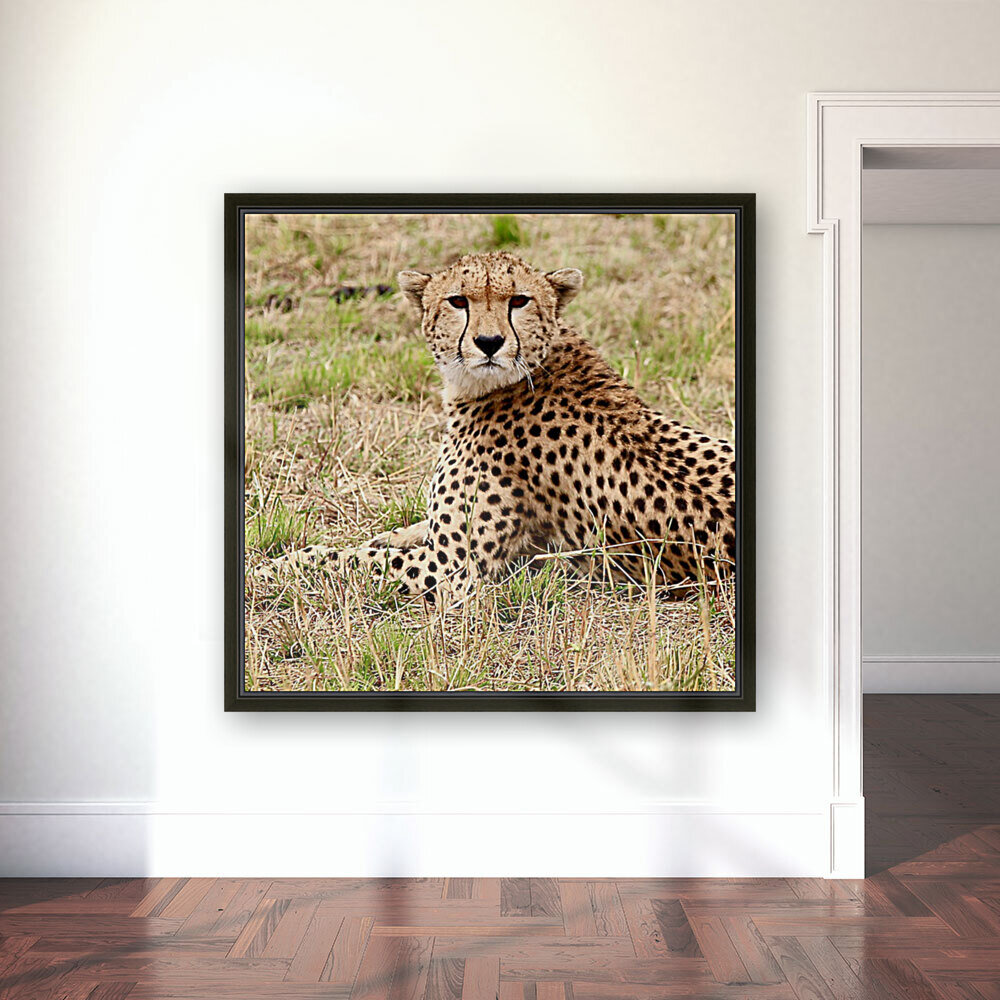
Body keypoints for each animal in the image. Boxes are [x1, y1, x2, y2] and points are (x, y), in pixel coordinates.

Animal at [253, 251, 737, 605]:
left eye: (519, 301)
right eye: (458, 301)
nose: (489, 343)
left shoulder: (453, 569)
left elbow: (345, 559)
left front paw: (275, 567)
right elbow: (390, 537)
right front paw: (388, 534)